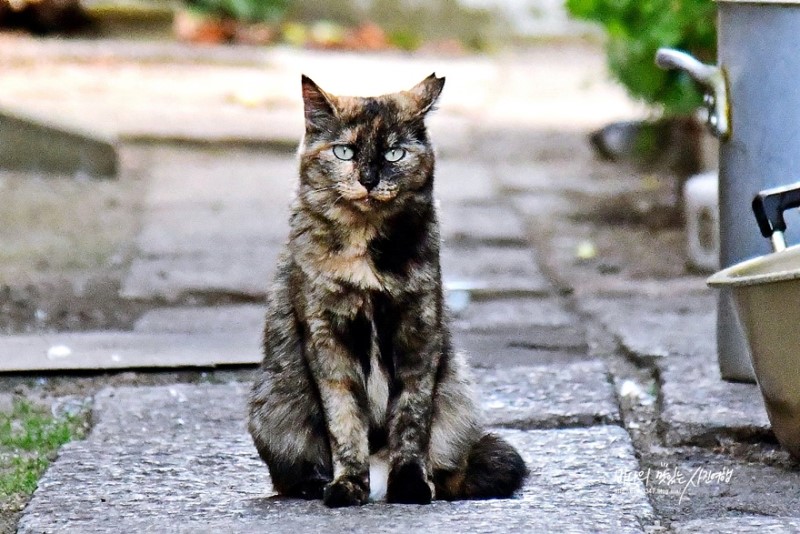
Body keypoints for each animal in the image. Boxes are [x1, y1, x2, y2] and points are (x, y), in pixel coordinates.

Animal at [247, 73, 528, 508]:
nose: (368, 180)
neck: (364, 247)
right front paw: (347, 486)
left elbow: (411, 420)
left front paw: (410, 485)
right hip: (273, 404)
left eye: (395, 153)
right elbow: (344, 419)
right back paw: (317, 484)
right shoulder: (328, 339)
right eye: (344, 151)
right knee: (288, 476)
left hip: (458, 397)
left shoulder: (418, 334)